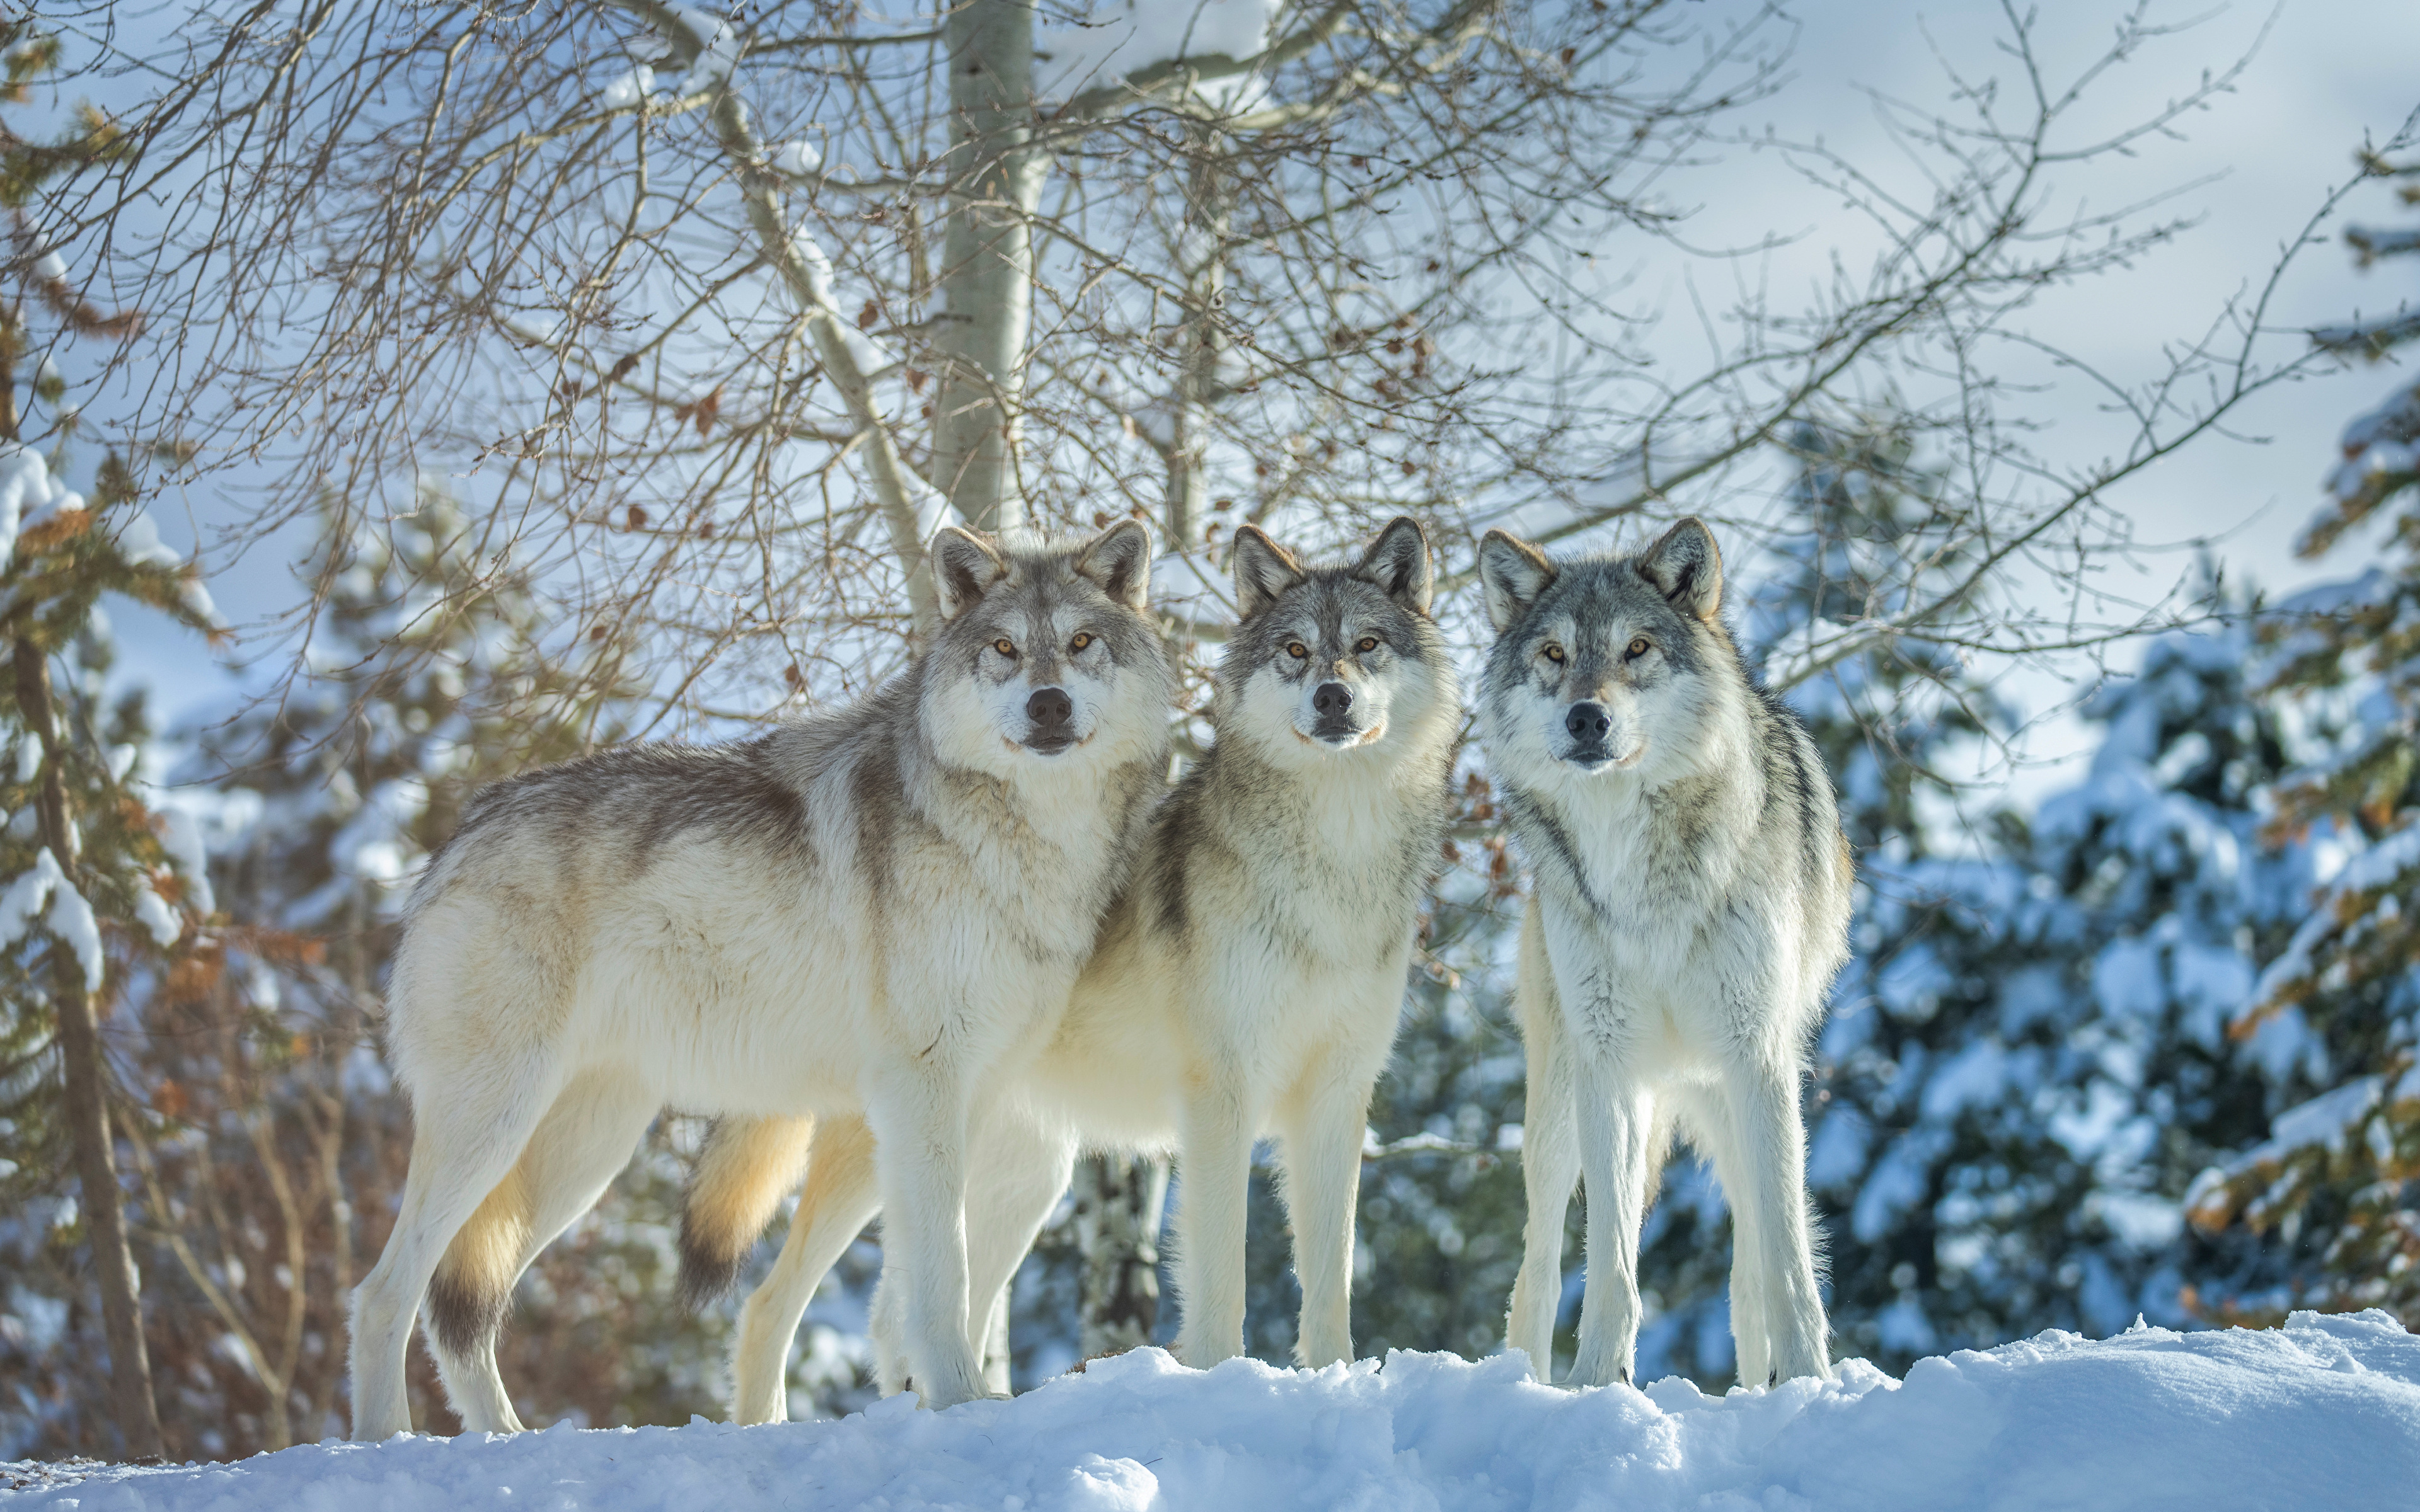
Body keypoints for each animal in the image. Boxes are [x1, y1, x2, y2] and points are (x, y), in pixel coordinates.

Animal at [346, 517, 1166, 1422]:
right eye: (1004, 648)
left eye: (1081, 643)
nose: (1048, 704)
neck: (1020, 841)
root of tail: (463, 828)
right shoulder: (923, 1088)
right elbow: (939, 1280)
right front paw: (959, 1405)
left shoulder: (969, 1096)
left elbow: (920, 1290)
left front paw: (949, 1406)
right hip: (494, 1126)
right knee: (385, 1296)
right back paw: (390, 1440)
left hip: (584, 1155)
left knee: (464, 1313)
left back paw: (501, 1439)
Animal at [692, 513, 1461, 1412]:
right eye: (1297, 652)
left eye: (1367, 645)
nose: (1331, 697)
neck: (1337, 865)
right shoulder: (1221, 1098)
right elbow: (1221, 1277)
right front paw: (1222, 1382)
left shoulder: (1338, 1098)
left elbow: (1332, 1278)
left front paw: (1337, 1382)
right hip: (895, 1152)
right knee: (770, 1308)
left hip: (1016, 1180)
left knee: (899, 1315)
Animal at [1471, 522, 1848, 1393]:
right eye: (1554, 654)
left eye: (1636, 647)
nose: (1586, 719)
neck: (1645, 876)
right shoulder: (1610, 1065)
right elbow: (1610, 1265)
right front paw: (1597, 1384)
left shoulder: (1758, 1058)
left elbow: (1786, 1261)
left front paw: (1808, 1383)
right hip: (1561, 1107)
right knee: (1538, 1271)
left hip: (1739, 1105)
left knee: (1751, 1264)